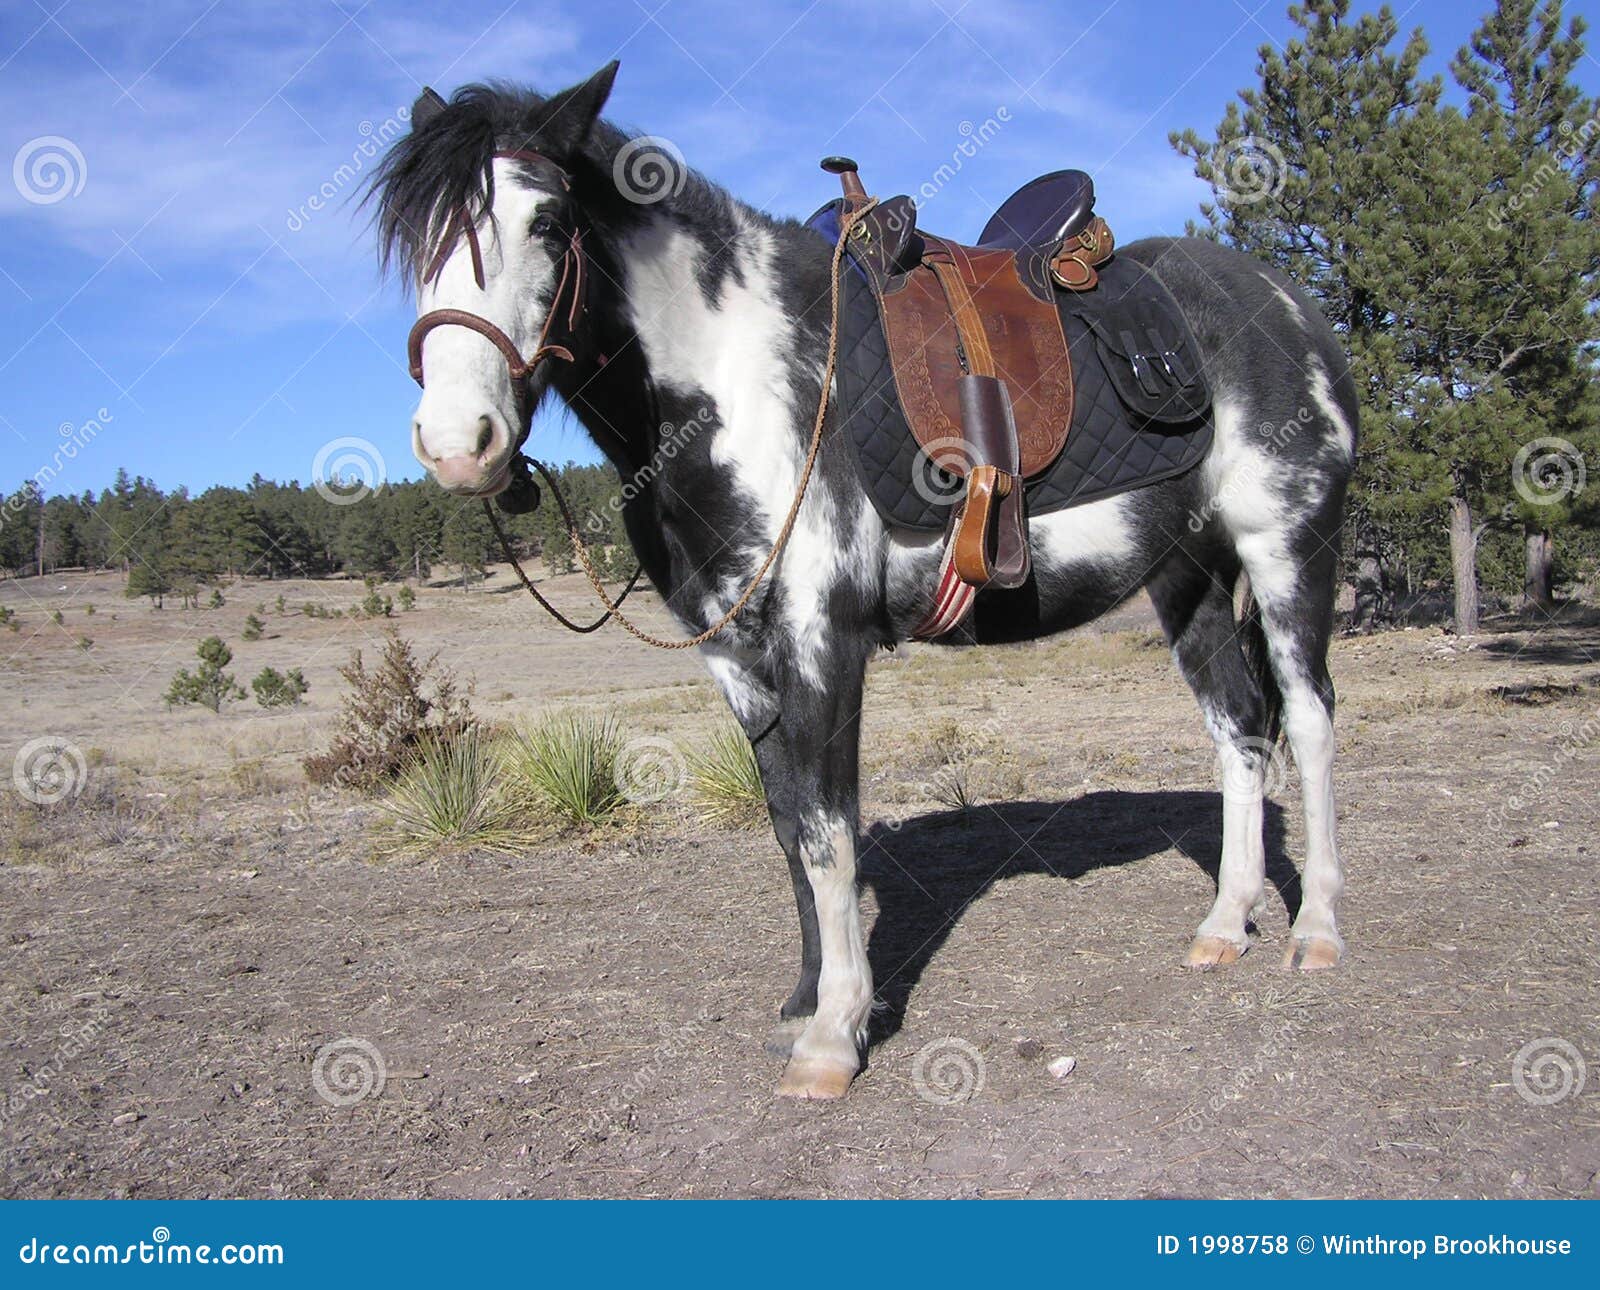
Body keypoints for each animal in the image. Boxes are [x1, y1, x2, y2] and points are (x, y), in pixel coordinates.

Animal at [374, 65, 1363, 1107]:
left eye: (549, 222)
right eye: (417, 242)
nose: (458, 444)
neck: (733, 380)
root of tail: (1285, 299)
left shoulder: (823, 637)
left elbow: (829, 829)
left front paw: (835, 1035)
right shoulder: (740, 660)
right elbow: (787, 826)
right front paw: (807, 1002)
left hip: (1291, 550)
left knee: (1307, 719)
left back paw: (1315, 930)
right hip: (1191, 578)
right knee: (1238, 729)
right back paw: (1224, 924)